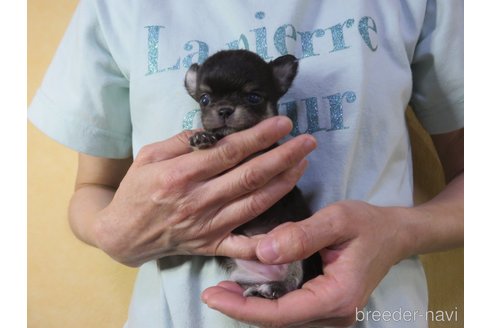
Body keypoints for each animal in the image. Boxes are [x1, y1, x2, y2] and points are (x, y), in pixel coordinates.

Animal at [185, 50, 322, 298]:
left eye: (254, 98)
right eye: (204, 99)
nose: (225, 109)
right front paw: (201, 138)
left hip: (298, 256)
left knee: (294, 280)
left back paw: (274, 288)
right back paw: (258, 289)